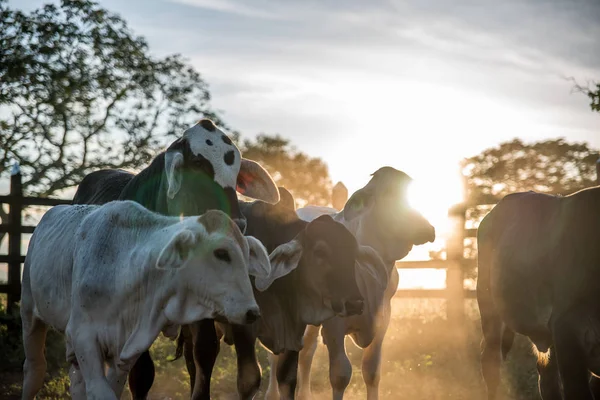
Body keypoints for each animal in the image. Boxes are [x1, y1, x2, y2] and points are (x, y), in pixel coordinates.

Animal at [20, 202, 270, 398]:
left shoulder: (124, 350)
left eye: (247, 254)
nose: (253, 312)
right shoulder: (83, 335)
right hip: (29, 312)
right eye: (221, 253)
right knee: (34, 370)